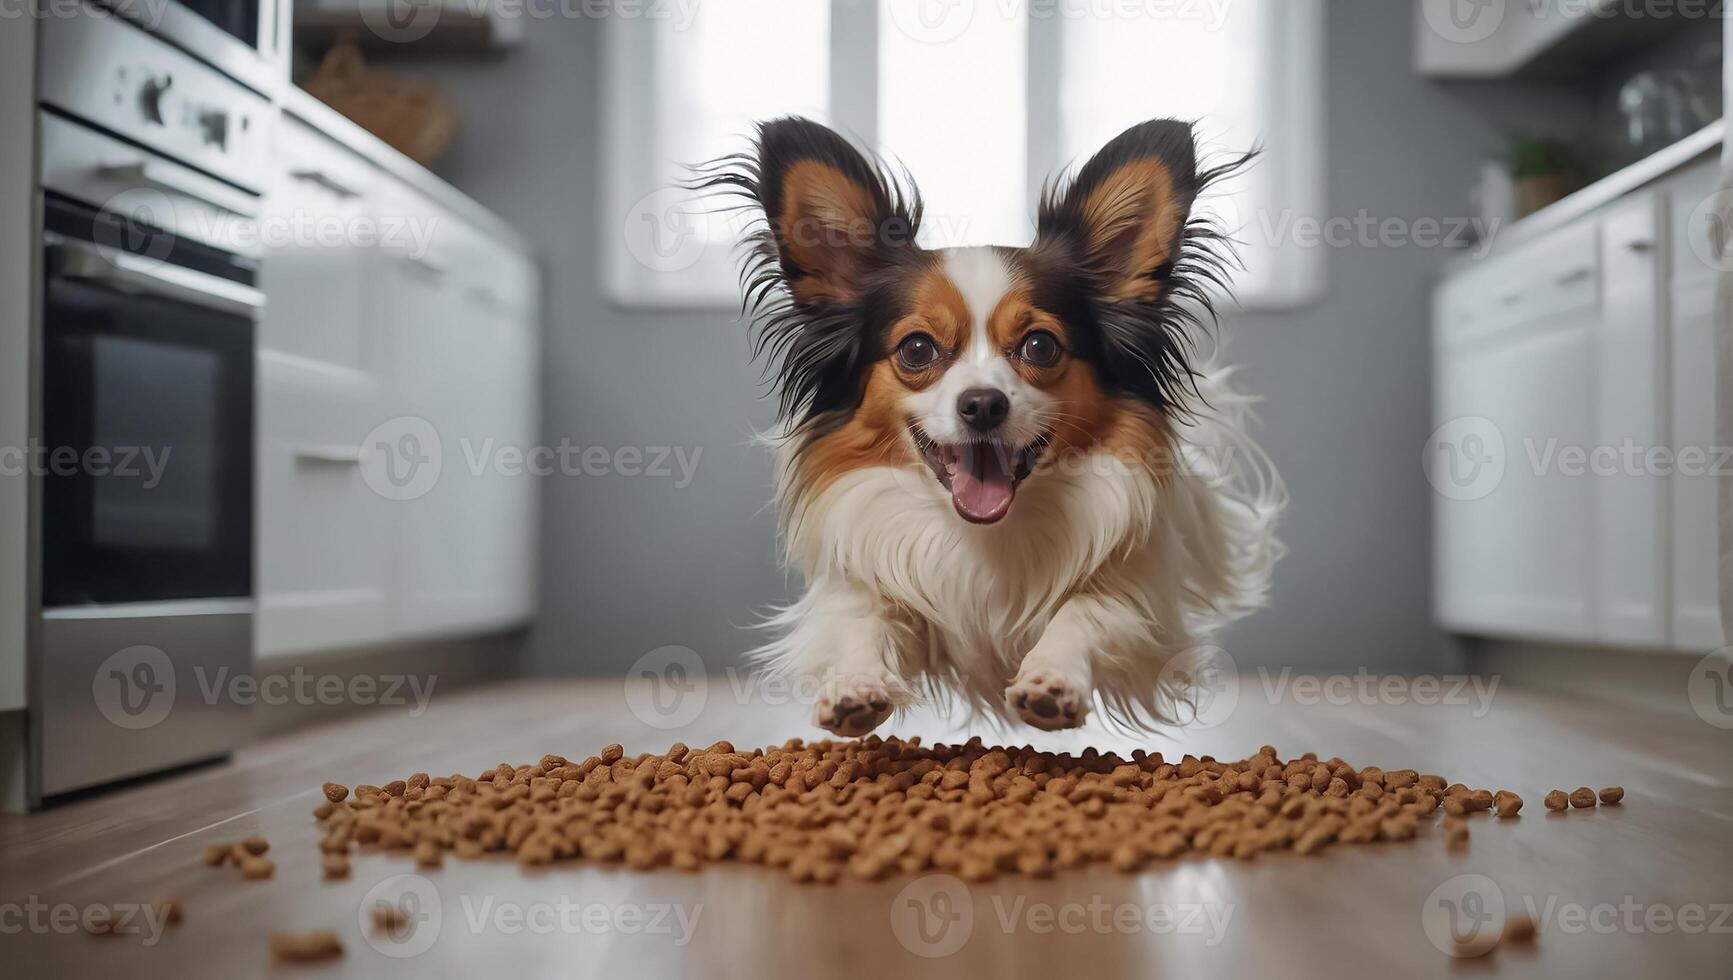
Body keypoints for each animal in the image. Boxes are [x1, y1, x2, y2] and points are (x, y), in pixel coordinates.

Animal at [696, 114, 1282, 735]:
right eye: (917, 349)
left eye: (1040, 346)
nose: (982, 404)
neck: (985, 536)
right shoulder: (865, 588)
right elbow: (866, 621)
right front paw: (856, 683)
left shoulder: (1142, 606)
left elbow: (1087, 611)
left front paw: (1052, 678)